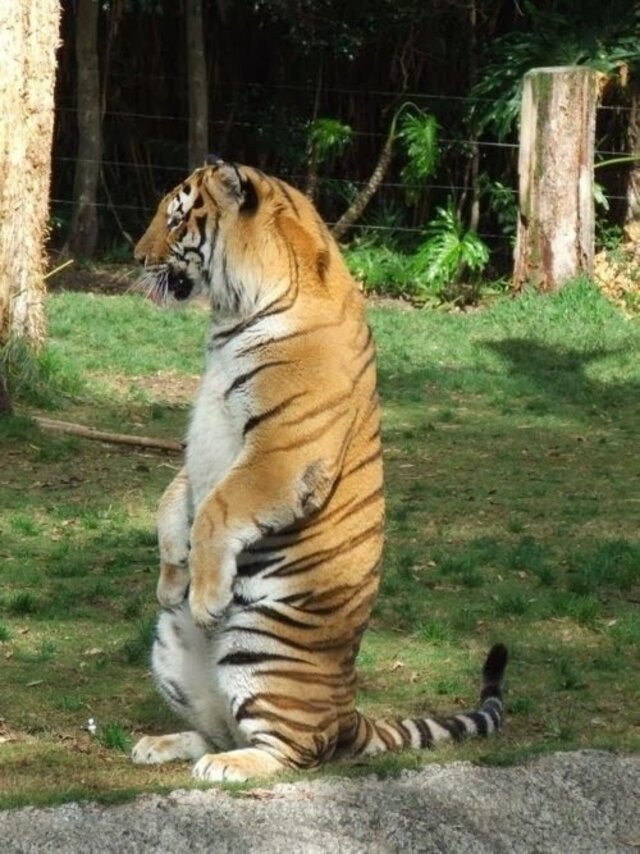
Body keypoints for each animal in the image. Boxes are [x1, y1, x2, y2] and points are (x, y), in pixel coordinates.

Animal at [130, 158, 508, 783]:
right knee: (217, 729)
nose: (137, 257)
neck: (231, 314)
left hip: (261, 648)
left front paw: (205, 597)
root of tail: (348, 710)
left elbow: (215, 510)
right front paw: (170, 578)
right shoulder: (202, 443)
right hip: (170, 647)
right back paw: (161, 744)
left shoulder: (280, 453)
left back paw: (230, 765)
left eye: (177, 219)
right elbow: (175, 498)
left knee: (294, 750)